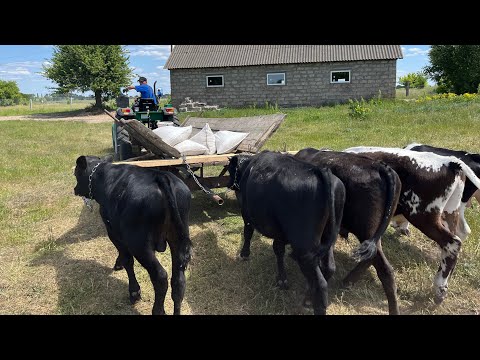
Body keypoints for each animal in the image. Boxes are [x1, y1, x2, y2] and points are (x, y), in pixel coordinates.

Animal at [73, 155, 191, 316]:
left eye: (76, 174)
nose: (75, 189)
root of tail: (161, 176)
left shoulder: (113, 231)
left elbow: (127, 260)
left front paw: (134, 291)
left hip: (139, 244)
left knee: (160, 276)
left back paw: (157, 310)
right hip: (177, 239)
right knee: (178, 281)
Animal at [227, 150, 346, 314]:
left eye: (230, 170)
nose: (228, 184)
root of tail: (321, 171)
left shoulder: (246, 214)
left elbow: (248, 233)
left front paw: (244, 254)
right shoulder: (279, 232)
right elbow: (278, 250)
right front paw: (282, 279)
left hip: (305, 250)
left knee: (320, 284)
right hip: (327, 240)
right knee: (329, 268)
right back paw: (308, 297)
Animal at [296, 148, 402, 314]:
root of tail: (382, 167)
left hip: (366, 231)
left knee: (384, 269)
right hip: (373, 236)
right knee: (371, 259)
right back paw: (347, 281)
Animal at [344, 146, 480, 304]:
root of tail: (449, 162)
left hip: (423, 216)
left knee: (453, 242)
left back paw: (439, 288)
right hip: (451, 211)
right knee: (456, 239)